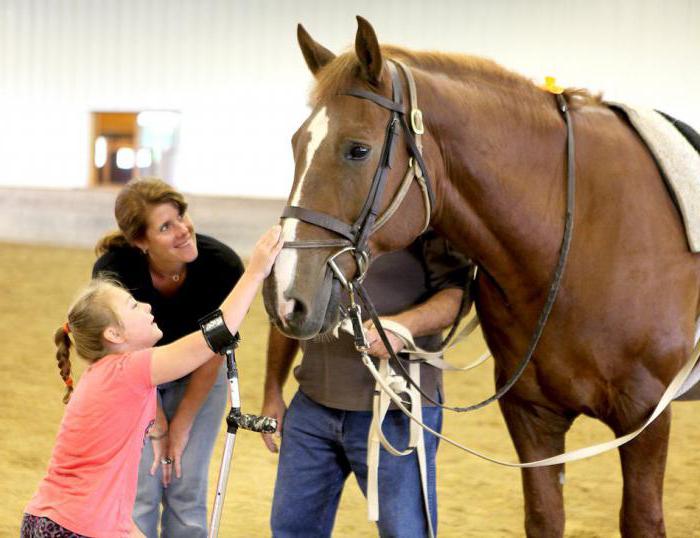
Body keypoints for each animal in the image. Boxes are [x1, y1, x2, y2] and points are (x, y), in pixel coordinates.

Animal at [262, 16, 700, 536]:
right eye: (295, 145)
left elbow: (642, 519)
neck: (583, 232)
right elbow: (544, 516)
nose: (285, 297)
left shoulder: (645, 418)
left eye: (358, 149)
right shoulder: (532, 416)